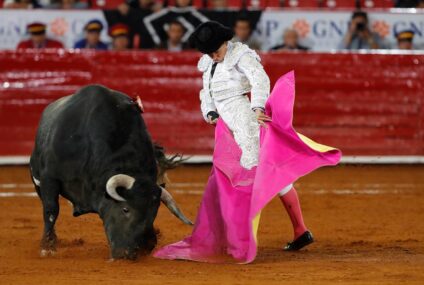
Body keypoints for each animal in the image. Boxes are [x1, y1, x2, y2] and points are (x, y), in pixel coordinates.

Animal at [28, 83, 190, 258]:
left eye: (154, 212)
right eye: (125, 209)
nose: (128, 252)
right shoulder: (49, 179)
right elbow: (51, 210)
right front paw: (47, 247)